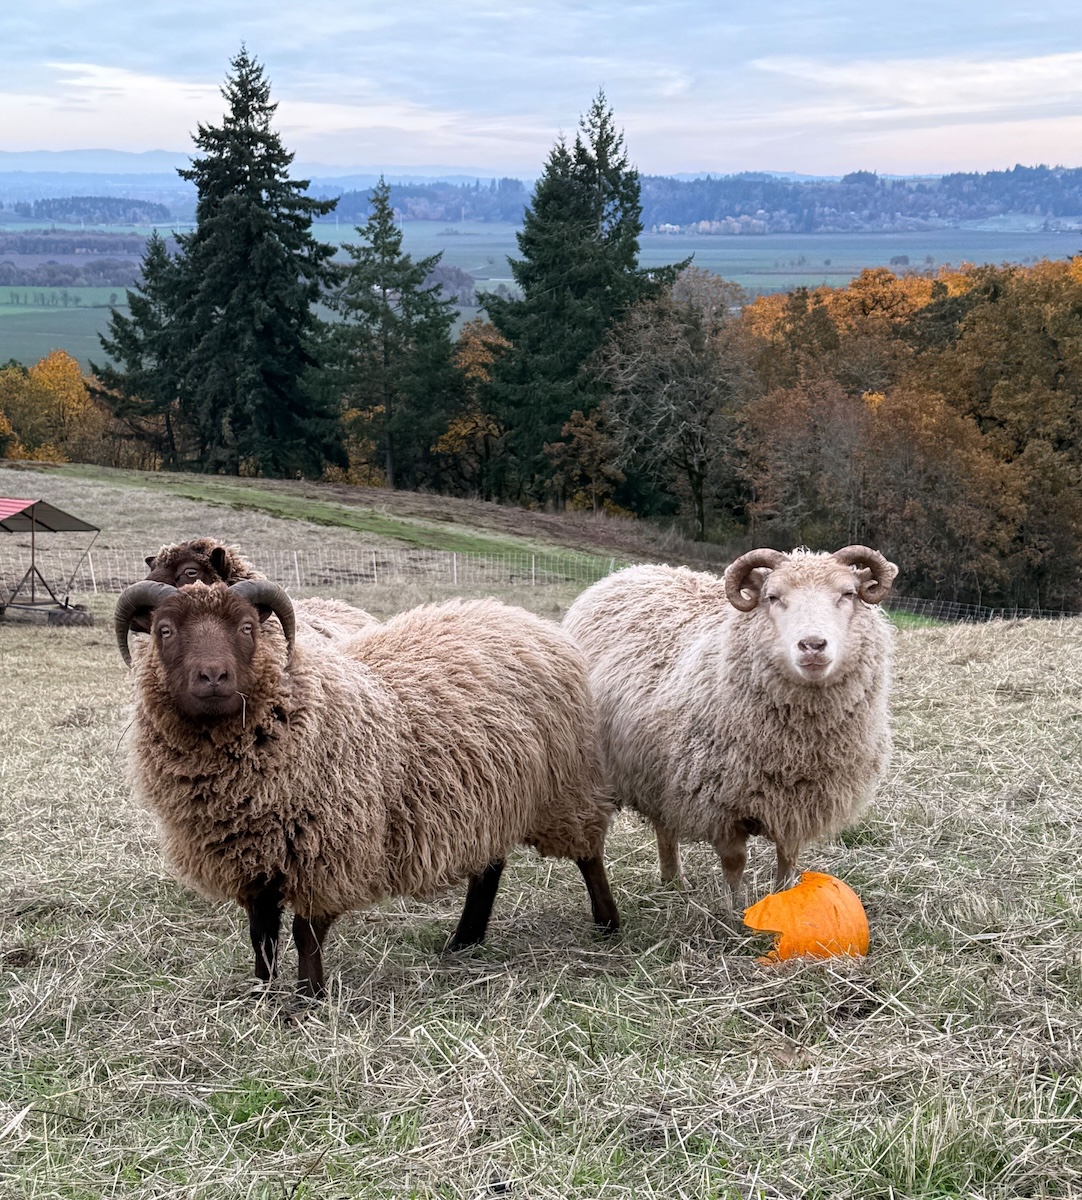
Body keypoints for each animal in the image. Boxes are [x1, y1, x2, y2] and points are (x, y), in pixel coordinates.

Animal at [114, 578, 620, 997]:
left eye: (246, 627)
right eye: (163, 630)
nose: (213, 677)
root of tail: (523, 618)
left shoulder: (326, 851)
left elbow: (305, 934)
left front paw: (307, 1001)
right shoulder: (250, 857)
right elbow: (261, 933)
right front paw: (260, 993)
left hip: (564, 787)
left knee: (588, 853)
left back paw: (608, 924)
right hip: (491, 796)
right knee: (489, 866)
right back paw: (465, 940)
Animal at [562, 546, 897, 897]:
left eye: (848, 594)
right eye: (772, 597)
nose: (813, 645)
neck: (796, 751)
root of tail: (629, 572)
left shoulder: (798, 807)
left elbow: (788, 859)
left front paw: (784, 898)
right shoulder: (718, 804)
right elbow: (735, 862)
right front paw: (734, 907)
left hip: (655, 771)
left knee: (663, 825)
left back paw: (673, 880)